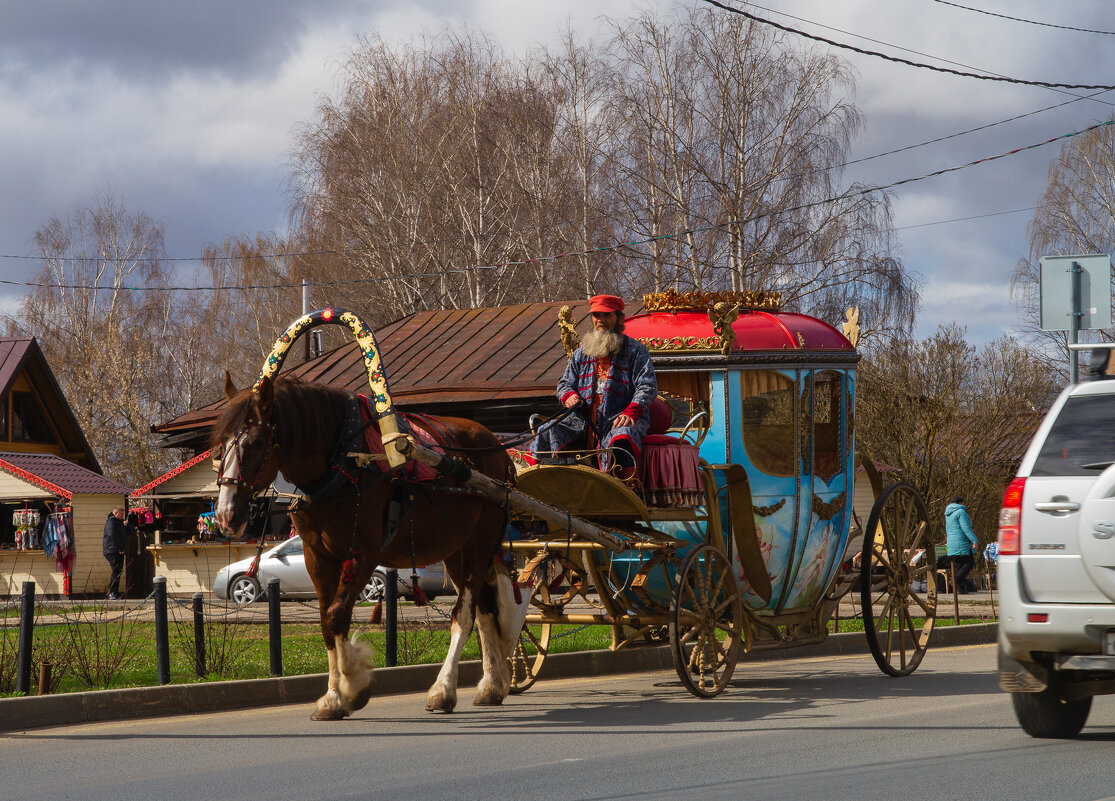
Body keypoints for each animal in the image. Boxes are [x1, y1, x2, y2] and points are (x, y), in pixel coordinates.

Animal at [212, 374, 526, 722]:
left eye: (255, 443)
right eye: (220, 446)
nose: (226, 515)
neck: (341, 461)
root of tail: (497, 449)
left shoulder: (363, 555)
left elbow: (337, 616)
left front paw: (353, 684)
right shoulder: (317, 558)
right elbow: (326, 621)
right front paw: (334, 695)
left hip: (478, 545)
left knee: (464, 614)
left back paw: (443, 689)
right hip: (456, 552)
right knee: (484, 610)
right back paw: (492, 685)